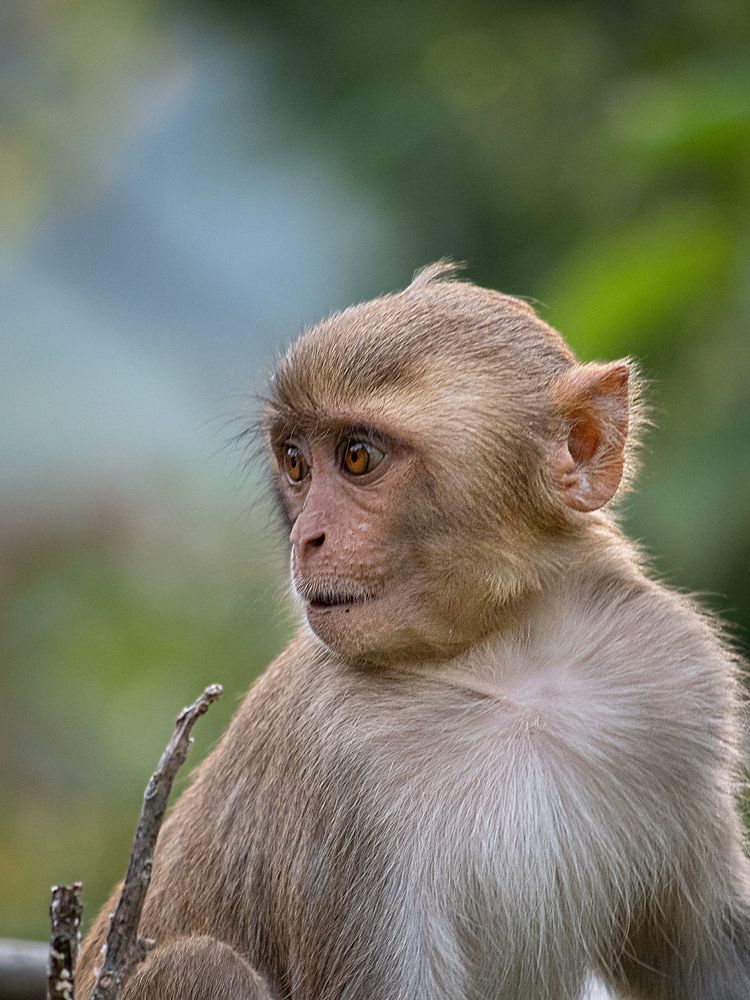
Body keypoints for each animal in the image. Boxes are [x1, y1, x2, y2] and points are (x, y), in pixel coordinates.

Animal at [77, 261, 750, 1000]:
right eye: (296, 464)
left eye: (357, 457)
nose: (306, 539)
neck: (505, 660)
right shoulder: (338, 763)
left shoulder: (675, 680)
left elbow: (709, 960)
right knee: (202, 965)